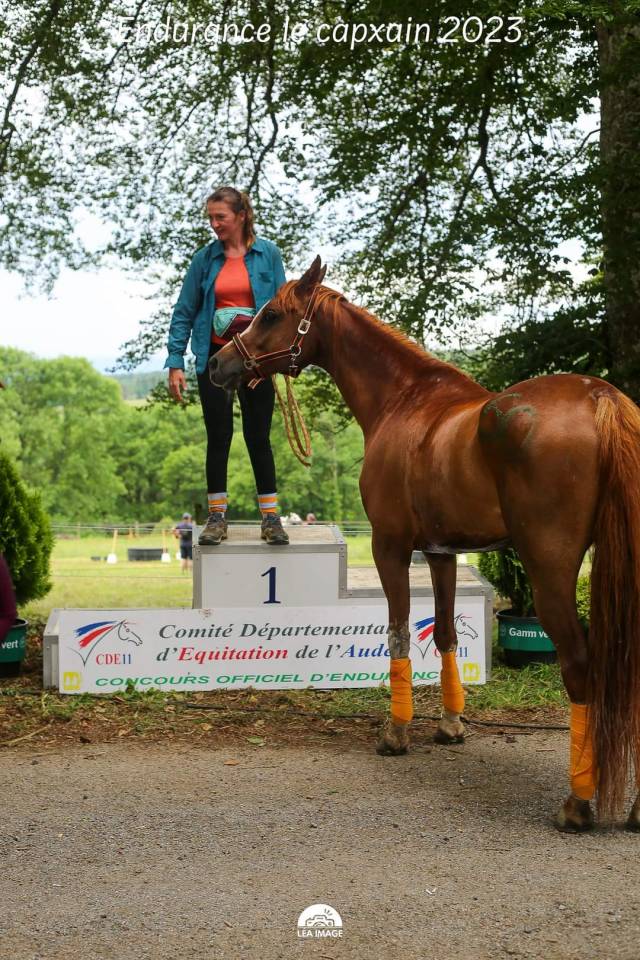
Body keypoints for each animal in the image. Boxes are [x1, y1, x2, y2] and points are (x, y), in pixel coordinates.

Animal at [210, 256, 640, 832]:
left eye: (272, 314)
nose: (218, 364)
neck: (404, 401)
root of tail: (601, 398)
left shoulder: (390, 547)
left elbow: (397, 633)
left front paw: (396, 732)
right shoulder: (442, 553)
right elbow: (446, 635)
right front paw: (451, 725)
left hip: (550, 568)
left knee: (577, 665)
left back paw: (577, 802)